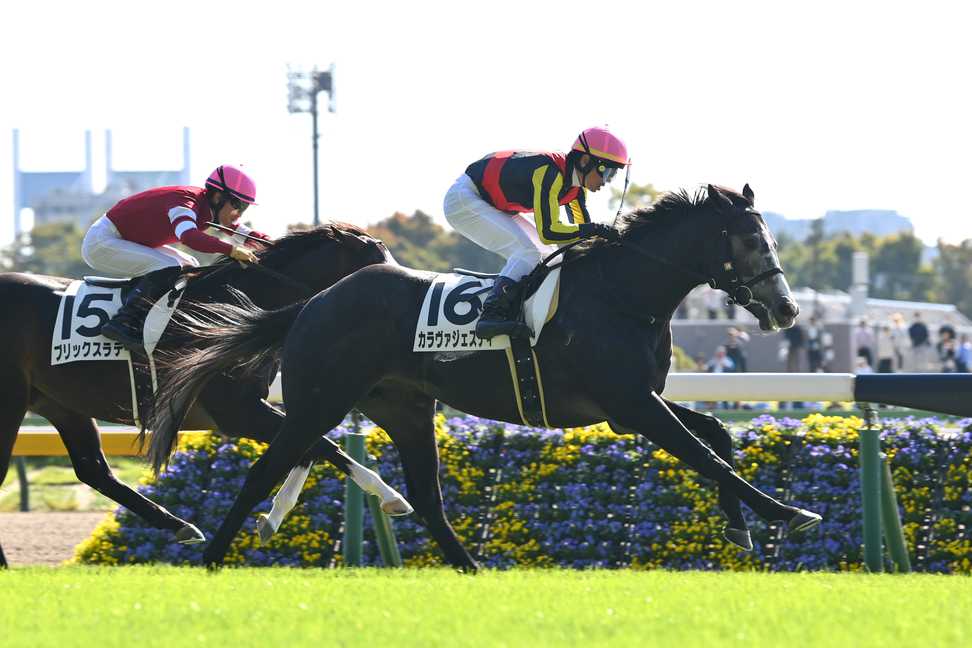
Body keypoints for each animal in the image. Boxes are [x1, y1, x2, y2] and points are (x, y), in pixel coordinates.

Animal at [0, 224, 408, 568]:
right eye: (375, 260)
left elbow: (309, 449)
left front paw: (272, 518)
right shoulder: (235, 412)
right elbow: (322, 445)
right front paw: (391, 495)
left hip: (61, 403)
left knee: (93, 470)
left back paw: (180, 525)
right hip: (13, 400)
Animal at [152, 182, 820, 568]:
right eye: (751, 240)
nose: (788, 310)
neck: (622, 294)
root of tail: (313, 302)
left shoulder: (633, 403)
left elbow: (719, 437)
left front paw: (740, 527)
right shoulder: (630, 405)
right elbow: (704, 455)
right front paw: (787, 514)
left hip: (404, 407)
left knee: (426, 496)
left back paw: (469, 569)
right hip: (320, 400)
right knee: (268, 469)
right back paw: (211, 555)